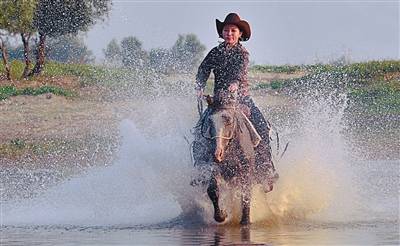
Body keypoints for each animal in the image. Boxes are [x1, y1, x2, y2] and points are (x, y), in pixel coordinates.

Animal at [191, 93, 268, 225]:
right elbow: (212, 190)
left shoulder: (246, 171)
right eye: (209, 120)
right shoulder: (214, 168)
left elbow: (246, 194)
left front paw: (245, 221)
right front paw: (222, 215)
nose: (217, 154)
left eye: (229, 120)